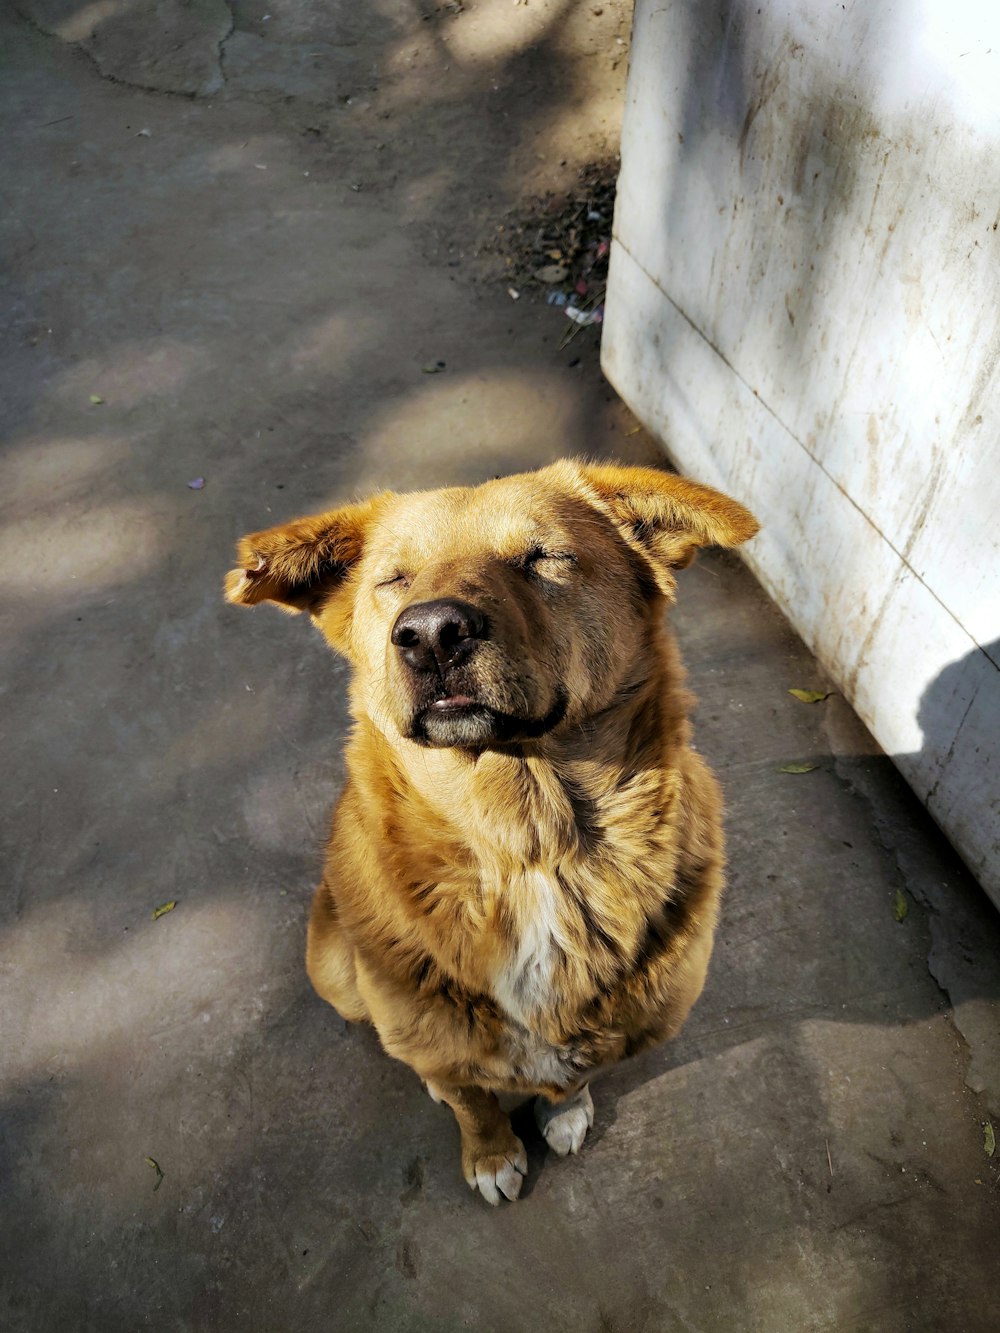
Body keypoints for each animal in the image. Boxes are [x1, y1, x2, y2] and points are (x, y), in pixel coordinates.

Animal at [229, 463, 757, 1205]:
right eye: (395, 579)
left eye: (542, 557)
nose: (430, 633)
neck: (529, 846)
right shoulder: (436, 1038)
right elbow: (469, 1098)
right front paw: (491, 1153)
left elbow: (578, 1071)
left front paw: (564, 1110)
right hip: (335, 970)